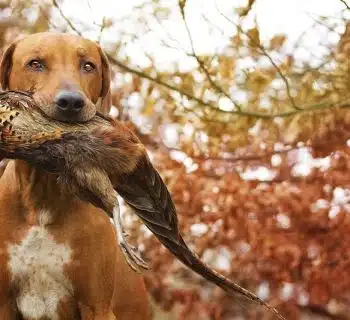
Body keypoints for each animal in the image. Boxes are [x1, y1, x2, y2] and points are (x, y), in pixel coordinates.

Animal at [0, 32, 153, 320]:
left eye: (88, 66)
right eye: (35, 63)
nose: (71, 102)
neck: (41, 199)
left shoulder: (97, 306)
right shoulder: (3, 303)